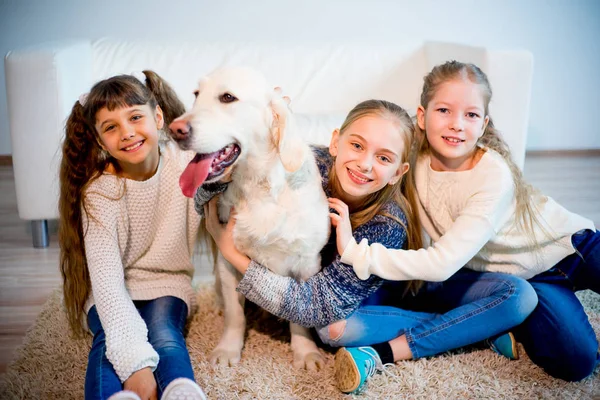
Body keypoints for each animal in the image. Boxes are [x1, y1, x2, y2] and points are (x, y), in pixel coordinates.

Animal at [168, 67, 328, 370]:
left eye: (228, 97)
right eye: (196, 94)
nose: (174, 130)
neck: (257, 188)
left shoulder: (307, 262)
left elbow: (301, 319)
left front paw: (306, 352)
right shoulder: (228, 262)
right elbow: (235, 314)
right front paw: (228, 349)